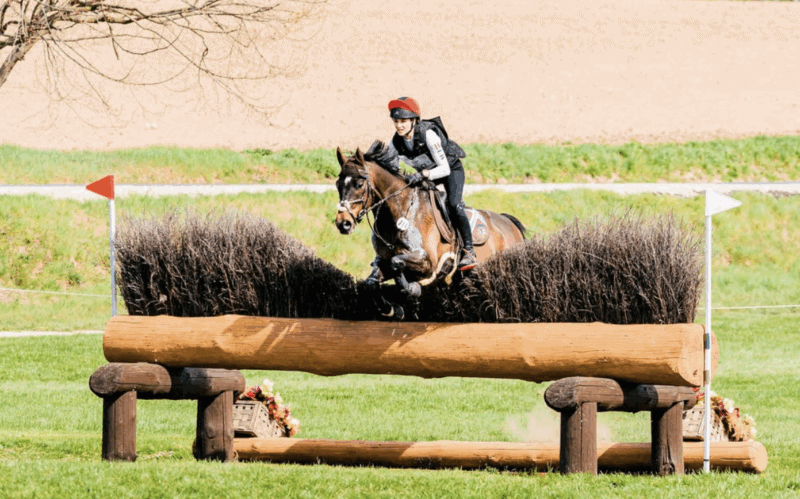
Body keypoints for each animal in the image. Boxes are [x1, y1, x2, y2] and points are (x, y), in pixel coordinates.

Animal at [334, 141, 526, 319]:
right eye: (337, 184)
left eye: (359, 184)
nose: (342, 223)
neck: (400, 213)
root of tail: (508, 222)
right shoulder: (382, 261)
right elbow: (372, 283)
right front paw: (392, 309)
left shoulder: (428, 262)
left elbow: (397, 262)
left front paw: (412, 288)